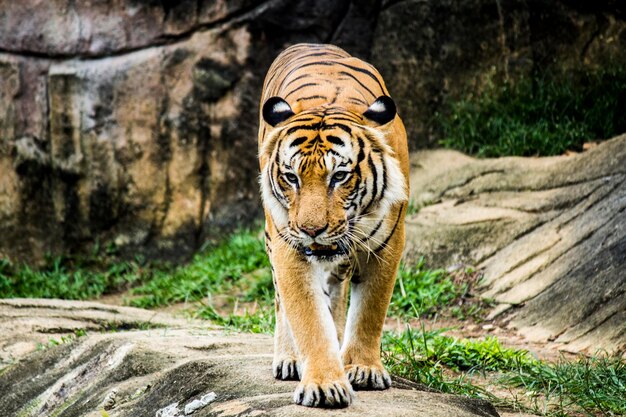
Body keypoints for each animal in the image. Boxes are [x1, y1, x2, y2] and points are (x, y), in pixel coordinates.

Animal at [256, 43, 408, 406]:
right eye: (291, 177)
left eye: (338, 176)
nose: (311, 230)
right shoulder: (289, 249)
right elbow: (309, 319)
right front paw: (324, 385)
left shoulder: (387, 246)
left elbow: (369, 312)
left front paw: (363, 368)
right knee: (282, 301)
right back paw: (289, 359)